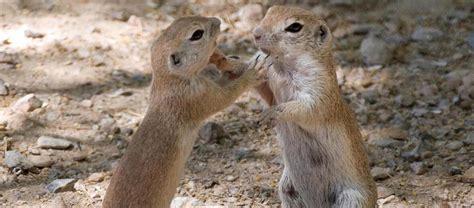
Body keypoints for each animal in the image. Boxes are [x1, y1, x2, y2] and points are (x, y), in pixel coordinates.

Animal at [102, 16, 268, 208]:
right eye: (197, 34)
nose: (217, 20)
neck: (170, 79)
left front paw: (227, 62)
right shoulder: (198, 95)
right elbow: (226, 96)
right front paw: (253, 72)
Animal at [252, 5, 378, 207]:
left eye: (295, 27)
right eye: (270, 10)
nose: (256, 33)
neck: (283, 65)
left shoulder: (319, 89)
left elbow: (306, 109)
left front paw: (270, 114)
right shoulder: (273, 90)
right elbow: (266, 93)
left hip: (352, 199)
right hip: (288, 190)